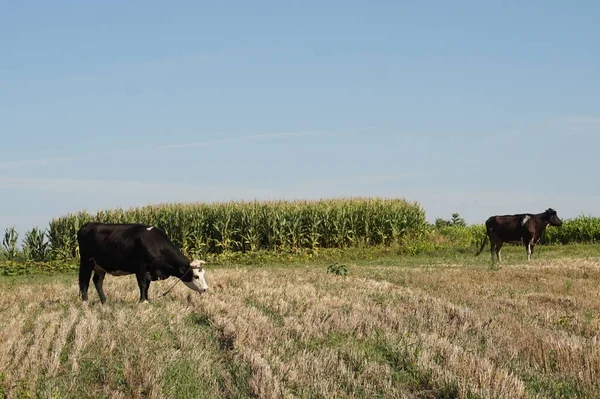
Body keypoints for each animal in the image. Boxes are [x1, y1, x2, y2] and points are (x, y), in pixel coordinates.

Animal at [77, 223, 209, 304]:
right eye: (196, 276)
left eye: (203, 274)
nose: (205, 289)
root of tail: (88, 225)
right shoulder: (140, 268)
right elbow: (142, 284)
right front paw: (143, 301)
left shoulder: (150, 271)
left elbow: (147, 285)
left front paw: (146, 299)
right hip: (86, 262)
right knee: (84, 281)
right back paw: (85, 302)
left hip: (100, 266)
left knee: (97, 281)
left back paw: (104, 301)